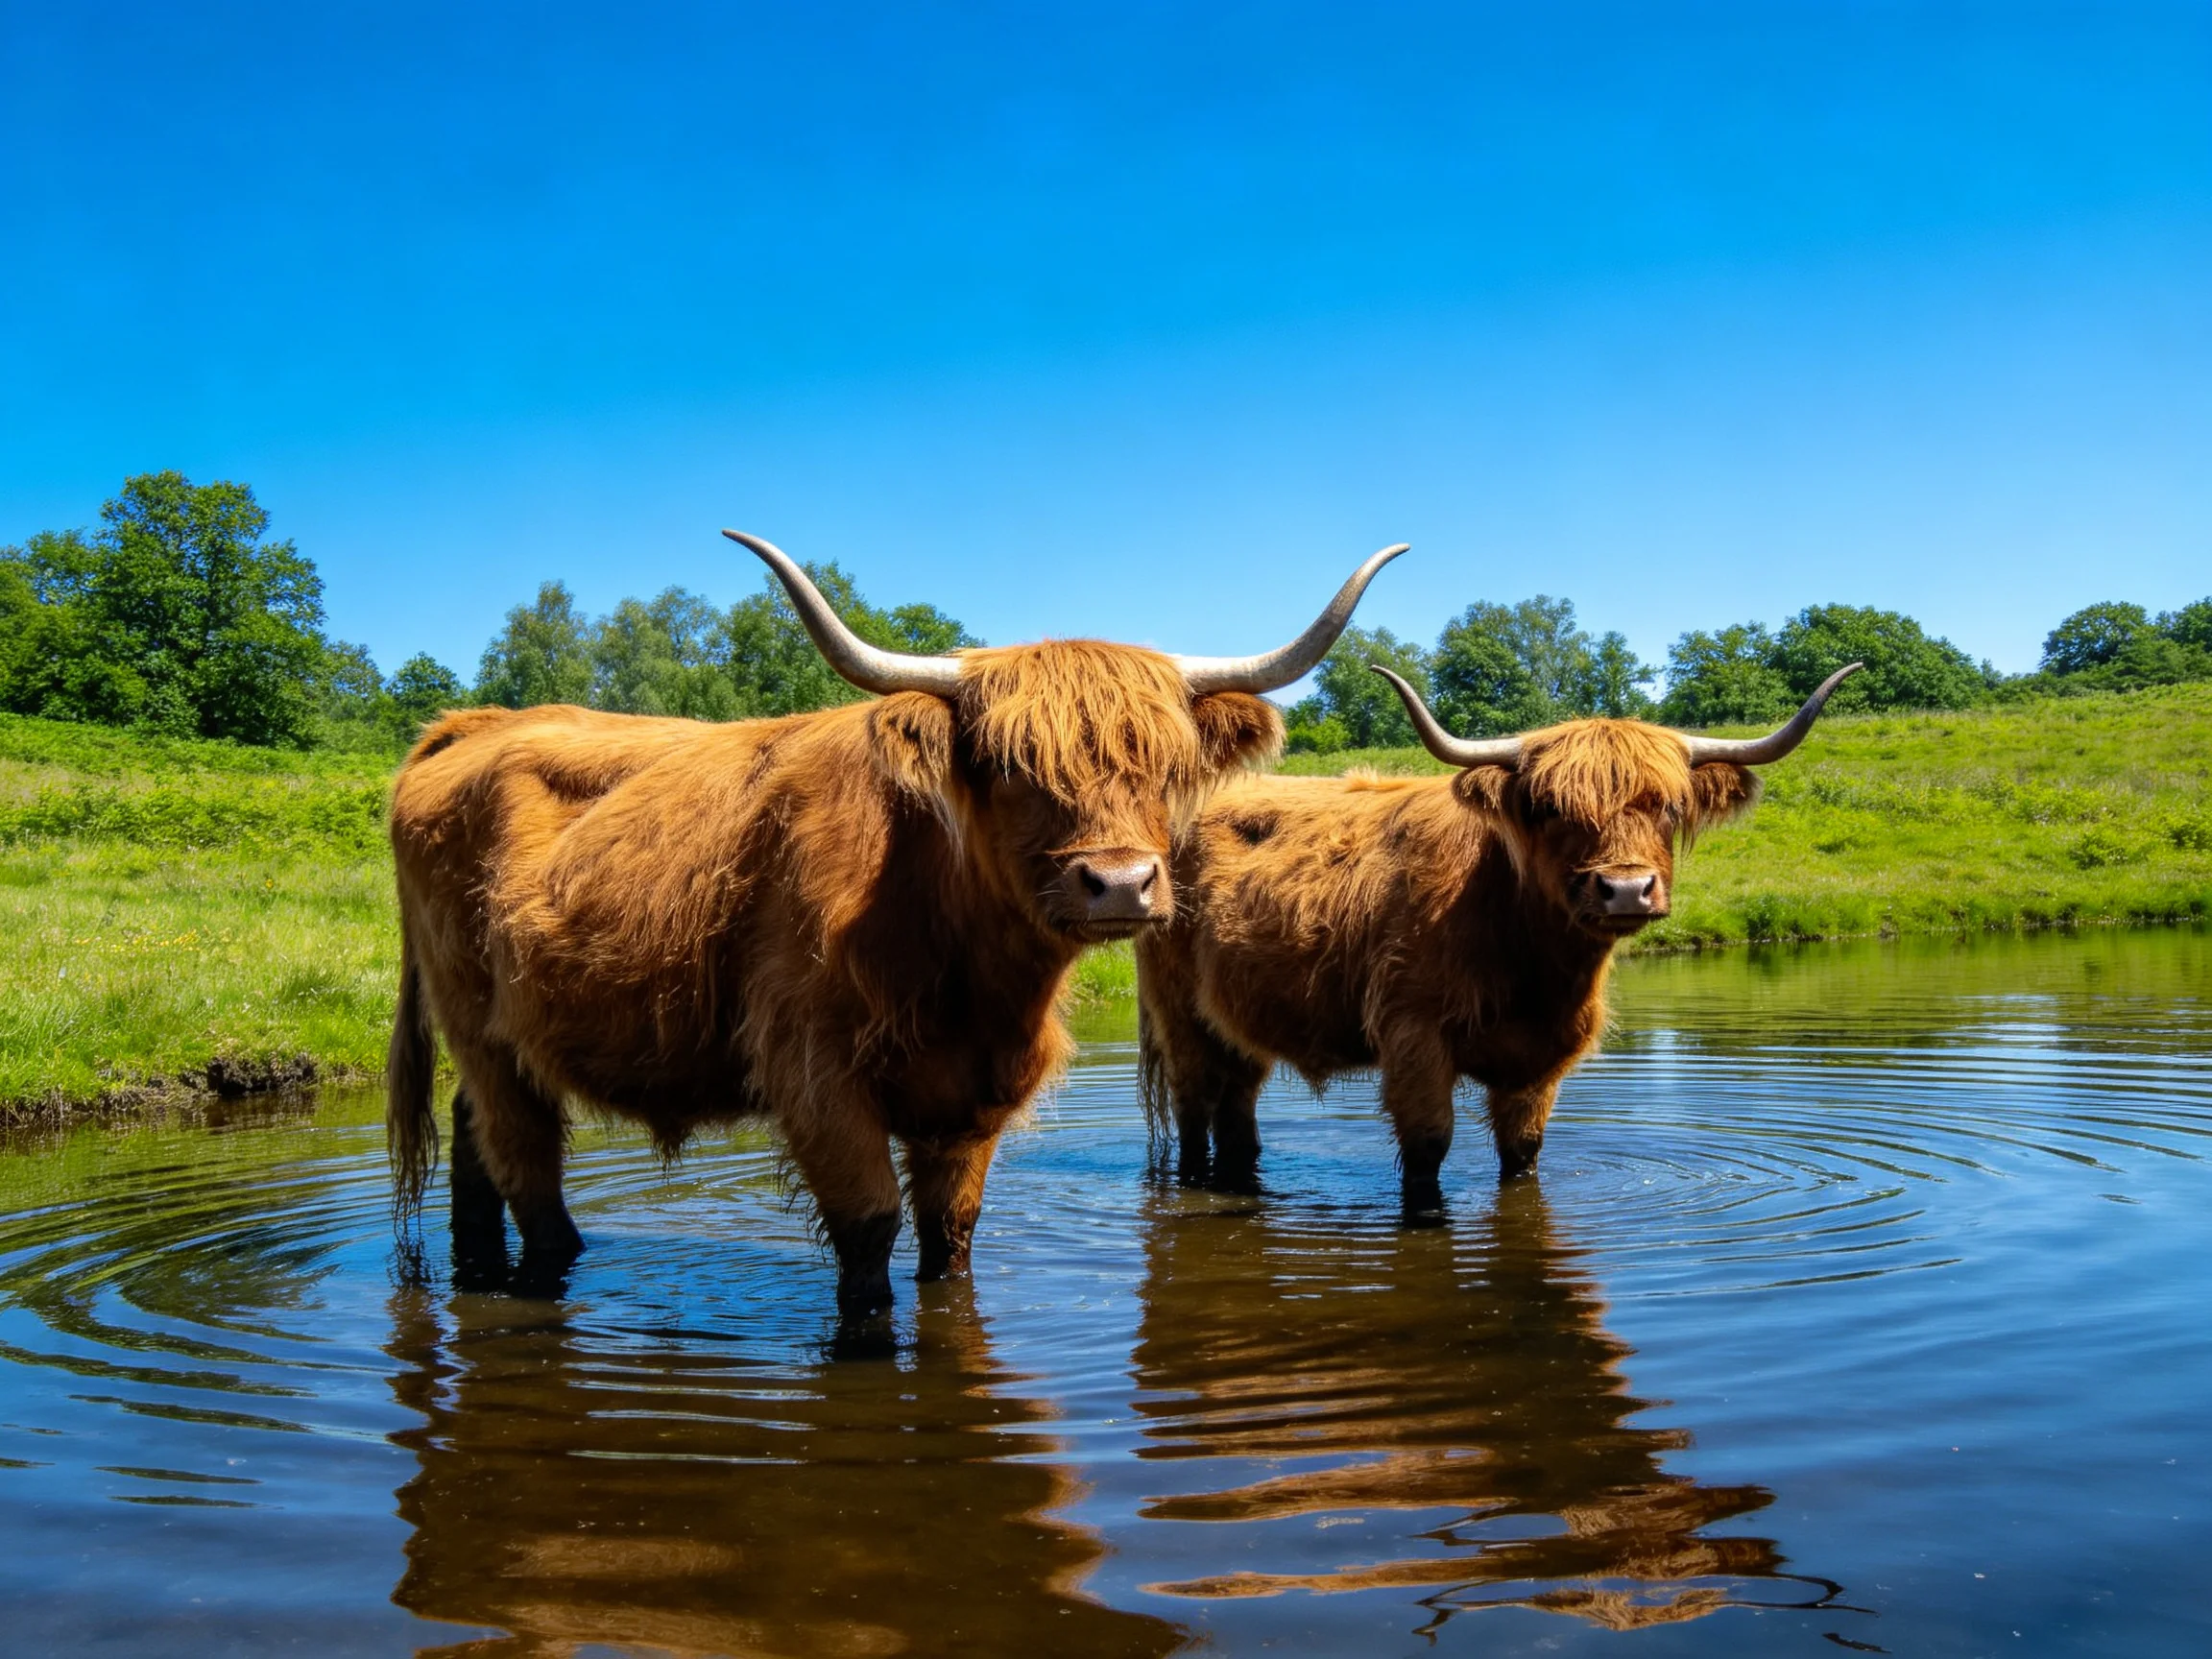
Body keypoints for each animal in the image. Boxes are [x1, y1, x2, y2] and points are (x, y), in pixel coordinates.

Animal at [386, 531, 1405, 1313]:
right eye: (1008, 765)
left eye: (1161, 764)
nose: (1119, 884)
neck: (967, 974)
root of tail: (469, 725)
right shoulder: (814, 1078)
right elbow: (869, 1234)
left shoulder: (970, 1102)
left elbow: (949, 1238)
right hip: (482, 1026)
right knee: (526, 1165)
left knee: (476, 1141)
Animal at [1136, 662, 1860, 1207]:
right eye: (1546, 807)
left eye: (1670, 804)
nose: (1626, 889)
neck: (1533, 968)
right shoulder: (1414, 1035)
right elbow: (1428, 1148)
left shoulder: (1539, 1064)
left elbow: (1524, 1157)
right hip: (1180, 1013)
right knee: (1196, 1110)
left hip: (1240, 1022)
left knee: (1237, 1111)